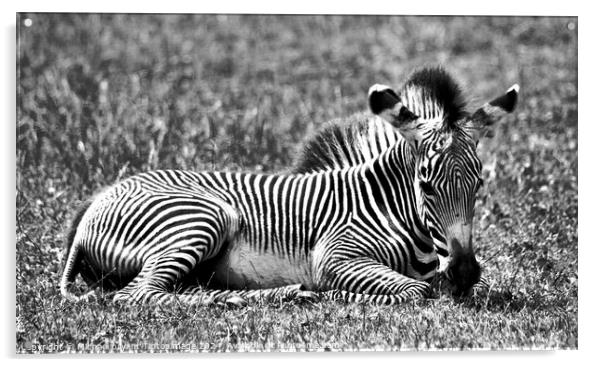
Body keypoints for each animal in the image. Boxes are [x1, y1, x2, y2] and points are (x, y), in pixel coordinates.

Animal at [59, 67, 516, 308]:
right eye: (426, 186)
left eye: (478, 184)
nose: (464, 271)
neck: (388, 205)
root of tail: (87, 214)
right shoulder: (334, 255)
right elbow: (414, 290)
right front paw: (339, 295)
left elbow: (446, 285)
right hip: (202, 217)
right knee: (137, 294)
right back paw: (251, 298)